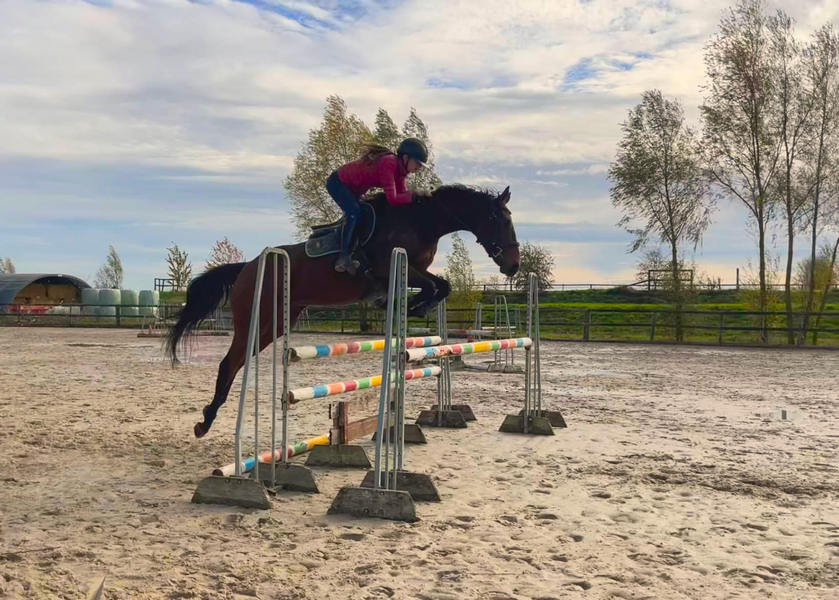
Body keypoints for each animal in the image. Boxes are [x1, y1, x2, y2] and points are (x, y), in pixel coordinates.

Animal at [165, 183, 521, 438]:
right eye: (499, 220)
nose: (513, 266)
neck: (421, 223)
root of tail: (246, 268)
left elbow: (440, 286)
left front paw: (412, 306)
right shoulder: (391, 267)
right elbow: (438, 286)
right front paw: (414, 305)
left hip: (274, 324)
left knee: (237, 362)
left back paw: (208, 418)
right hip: (256, 316)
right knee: (228, 363)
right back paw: (205, 423)